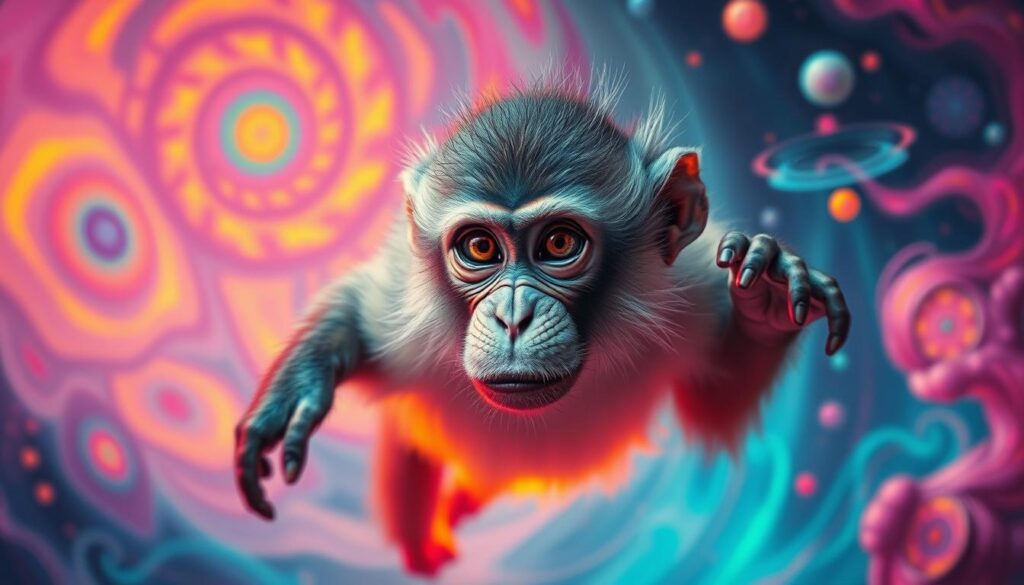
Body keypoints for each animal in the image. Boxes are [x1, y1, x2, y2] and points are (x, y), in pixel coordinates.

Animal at [234, 73, 851, 576]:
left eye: (558, 243)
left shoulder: (692, 288)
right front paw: (299, 384)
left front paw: (769, 294)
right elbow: (360, 310)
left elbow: (714, 404)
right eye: (480, 247)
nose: (513, 317)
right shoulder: (405, 316)